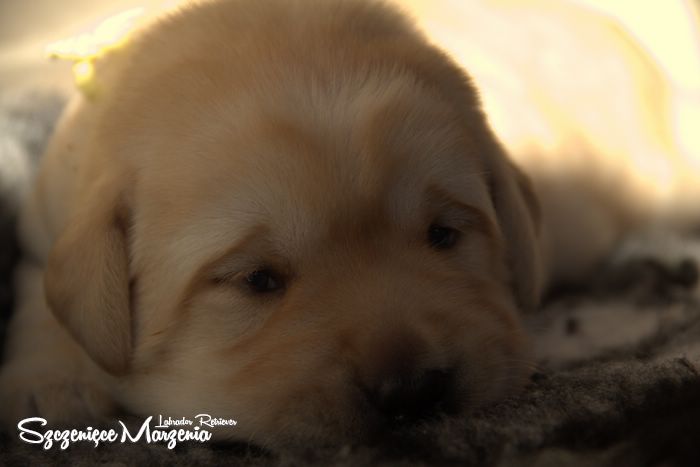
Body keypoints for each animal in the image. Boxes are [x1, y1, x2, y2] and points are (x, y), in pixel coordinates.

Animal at [0, 0, 687, 447]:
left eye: (443, 235)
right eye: (258, 280)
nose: (412, 392)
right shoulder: (50, 218)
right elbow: (48, 294)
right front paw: (49, 384)